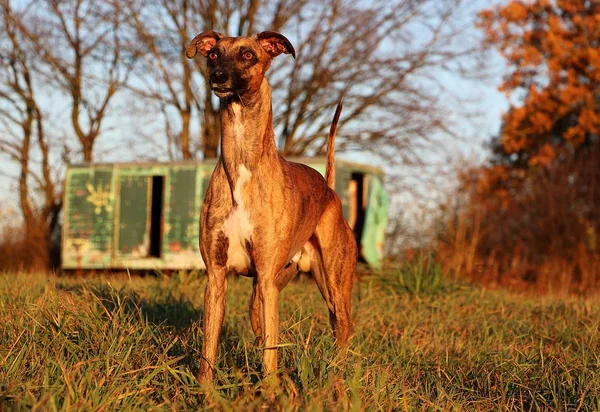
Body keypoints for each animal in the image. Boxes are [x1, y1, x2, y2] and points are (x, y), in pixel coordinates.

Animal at [186, 30, 356, 382]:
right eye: (213, 54)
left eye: (248, 55)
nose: (217, 76)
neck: (242, 163)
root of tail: (330, 190)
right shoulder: (217, 277)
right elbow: (210, 348)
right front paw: (204, 388)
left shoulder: (265, 278)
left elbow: (270, 355)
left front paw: (271, 388)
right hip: (265, 294)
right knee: (261, 328)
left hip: (333, 287)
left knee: (342, 330)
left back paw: (337, 376)